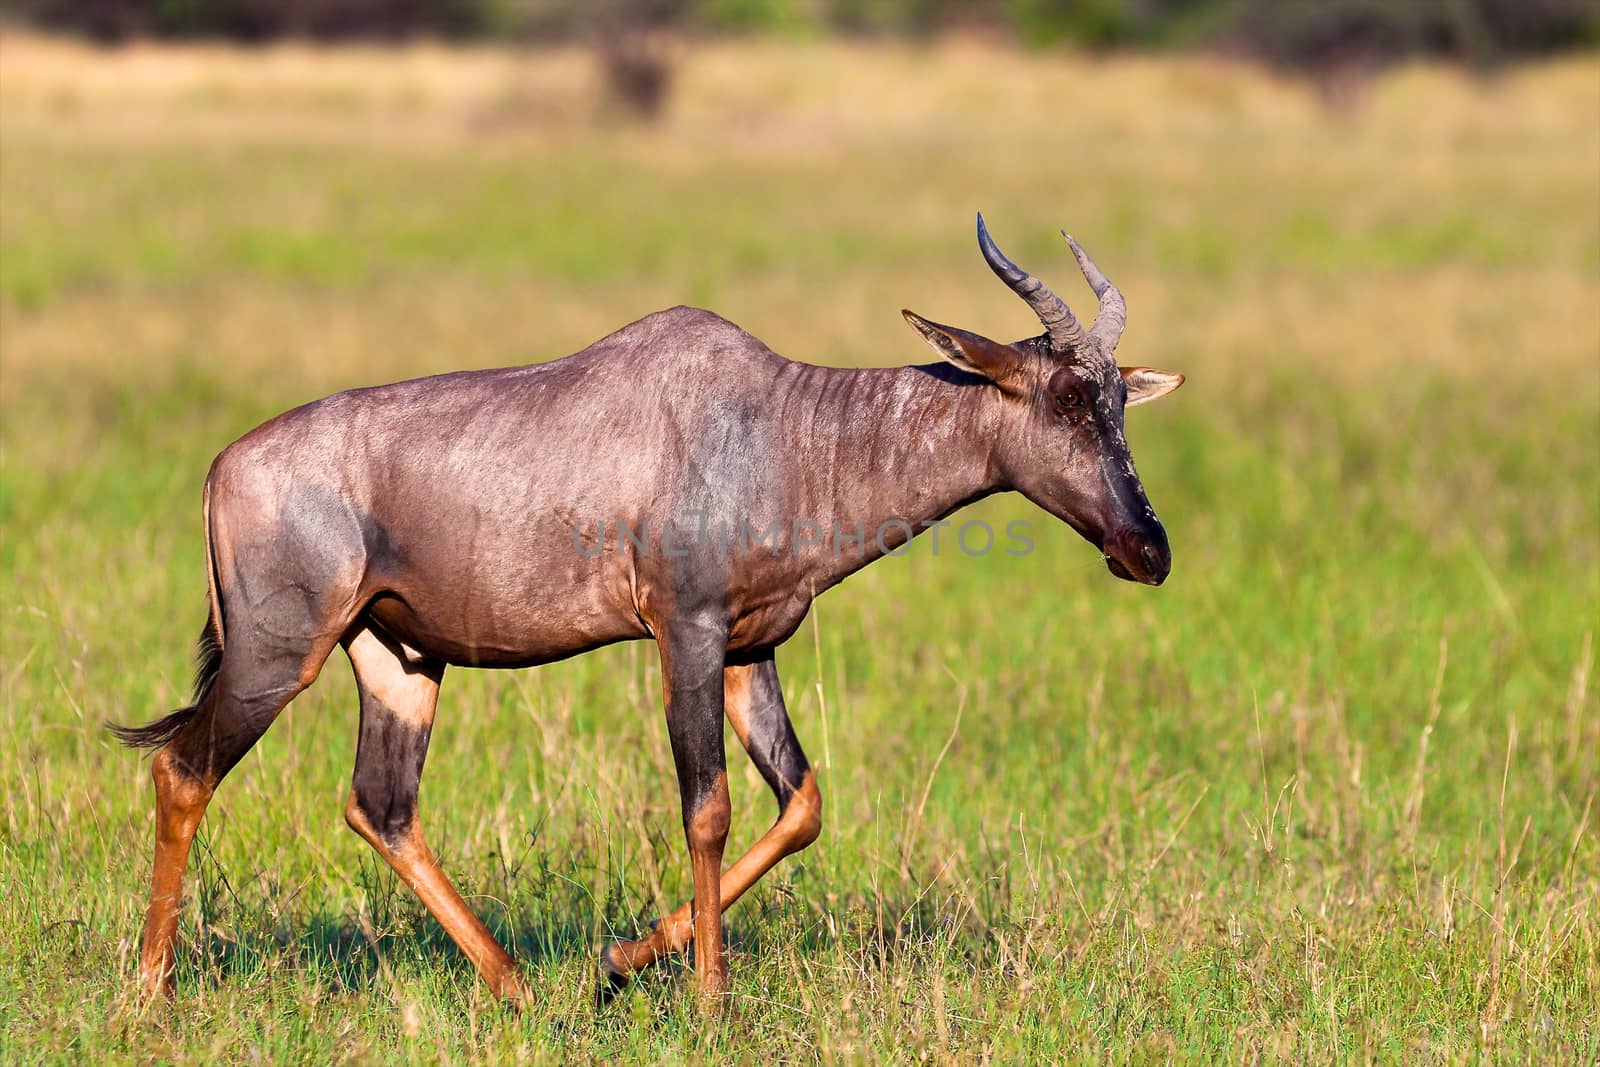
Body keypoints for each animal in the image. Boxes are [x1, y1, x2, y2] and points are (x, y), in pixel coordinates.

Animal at [112, 214, 1184, 1011]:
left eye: (1120, 401)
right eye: (1064, 395)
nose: (1149, 551)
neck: (778, 420)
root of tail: (221, 468)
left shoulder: (753, 648)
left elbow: (802, 804)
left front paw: (625, 960)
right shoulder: (688, 633)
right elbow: (705, 805)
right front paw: (710, 998)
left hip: (399, 657)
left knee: (381, 804)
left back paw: (521, 989)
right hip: (277, 654)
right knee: (184, 770)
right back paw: (151, 994)